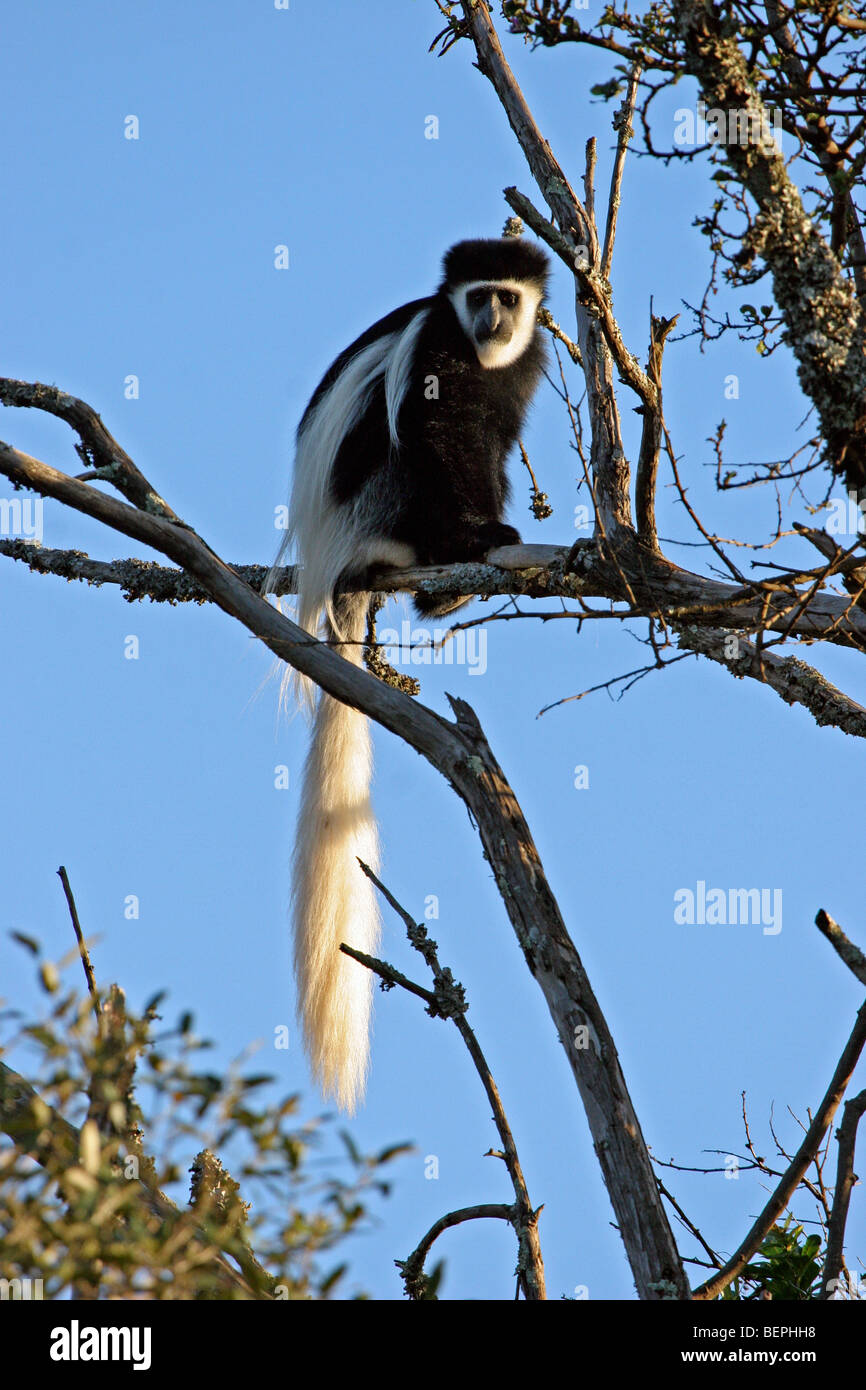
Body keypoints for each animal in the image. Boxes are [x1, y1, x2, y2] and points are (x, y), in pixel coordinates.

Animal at [267, 237, 550, 1111]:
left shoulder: (521, 368)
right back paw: (439, 554)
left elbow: (494, 439)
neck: (480, 352)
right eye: (476, 295)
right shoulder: (434, 351)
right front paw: (482, 535)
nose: (491, 318)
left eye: (507, 296)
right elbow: (437, 432)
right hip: (372, 503)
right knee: (405, 450)